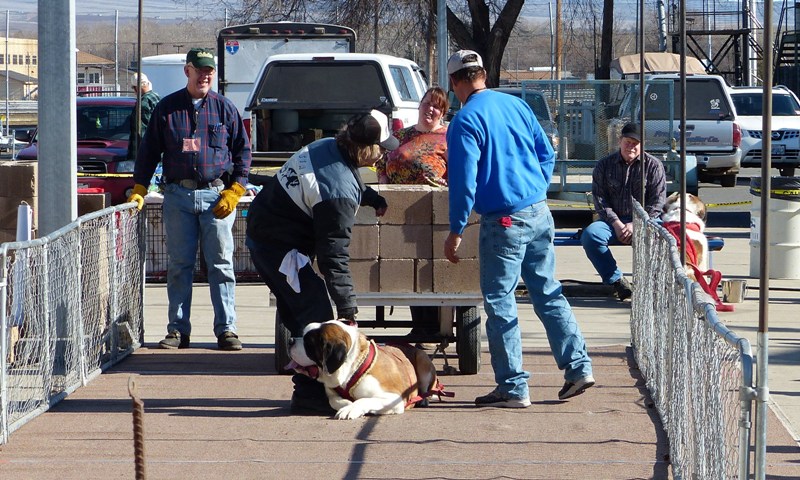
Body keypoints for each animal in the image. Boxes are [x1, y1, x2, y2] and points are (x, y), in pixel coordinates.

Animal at [290, 320, 446, 418]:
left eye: (308, 343)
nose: (291, 340)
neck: (352, 367)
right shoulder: (332, 393)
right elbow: (334, 400)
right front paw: (346, 404)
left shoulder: (394, 398)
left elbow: (364, 400)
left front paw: (351, 409)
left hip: (422, 360)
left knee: (426, 389)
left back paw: (423, 399)